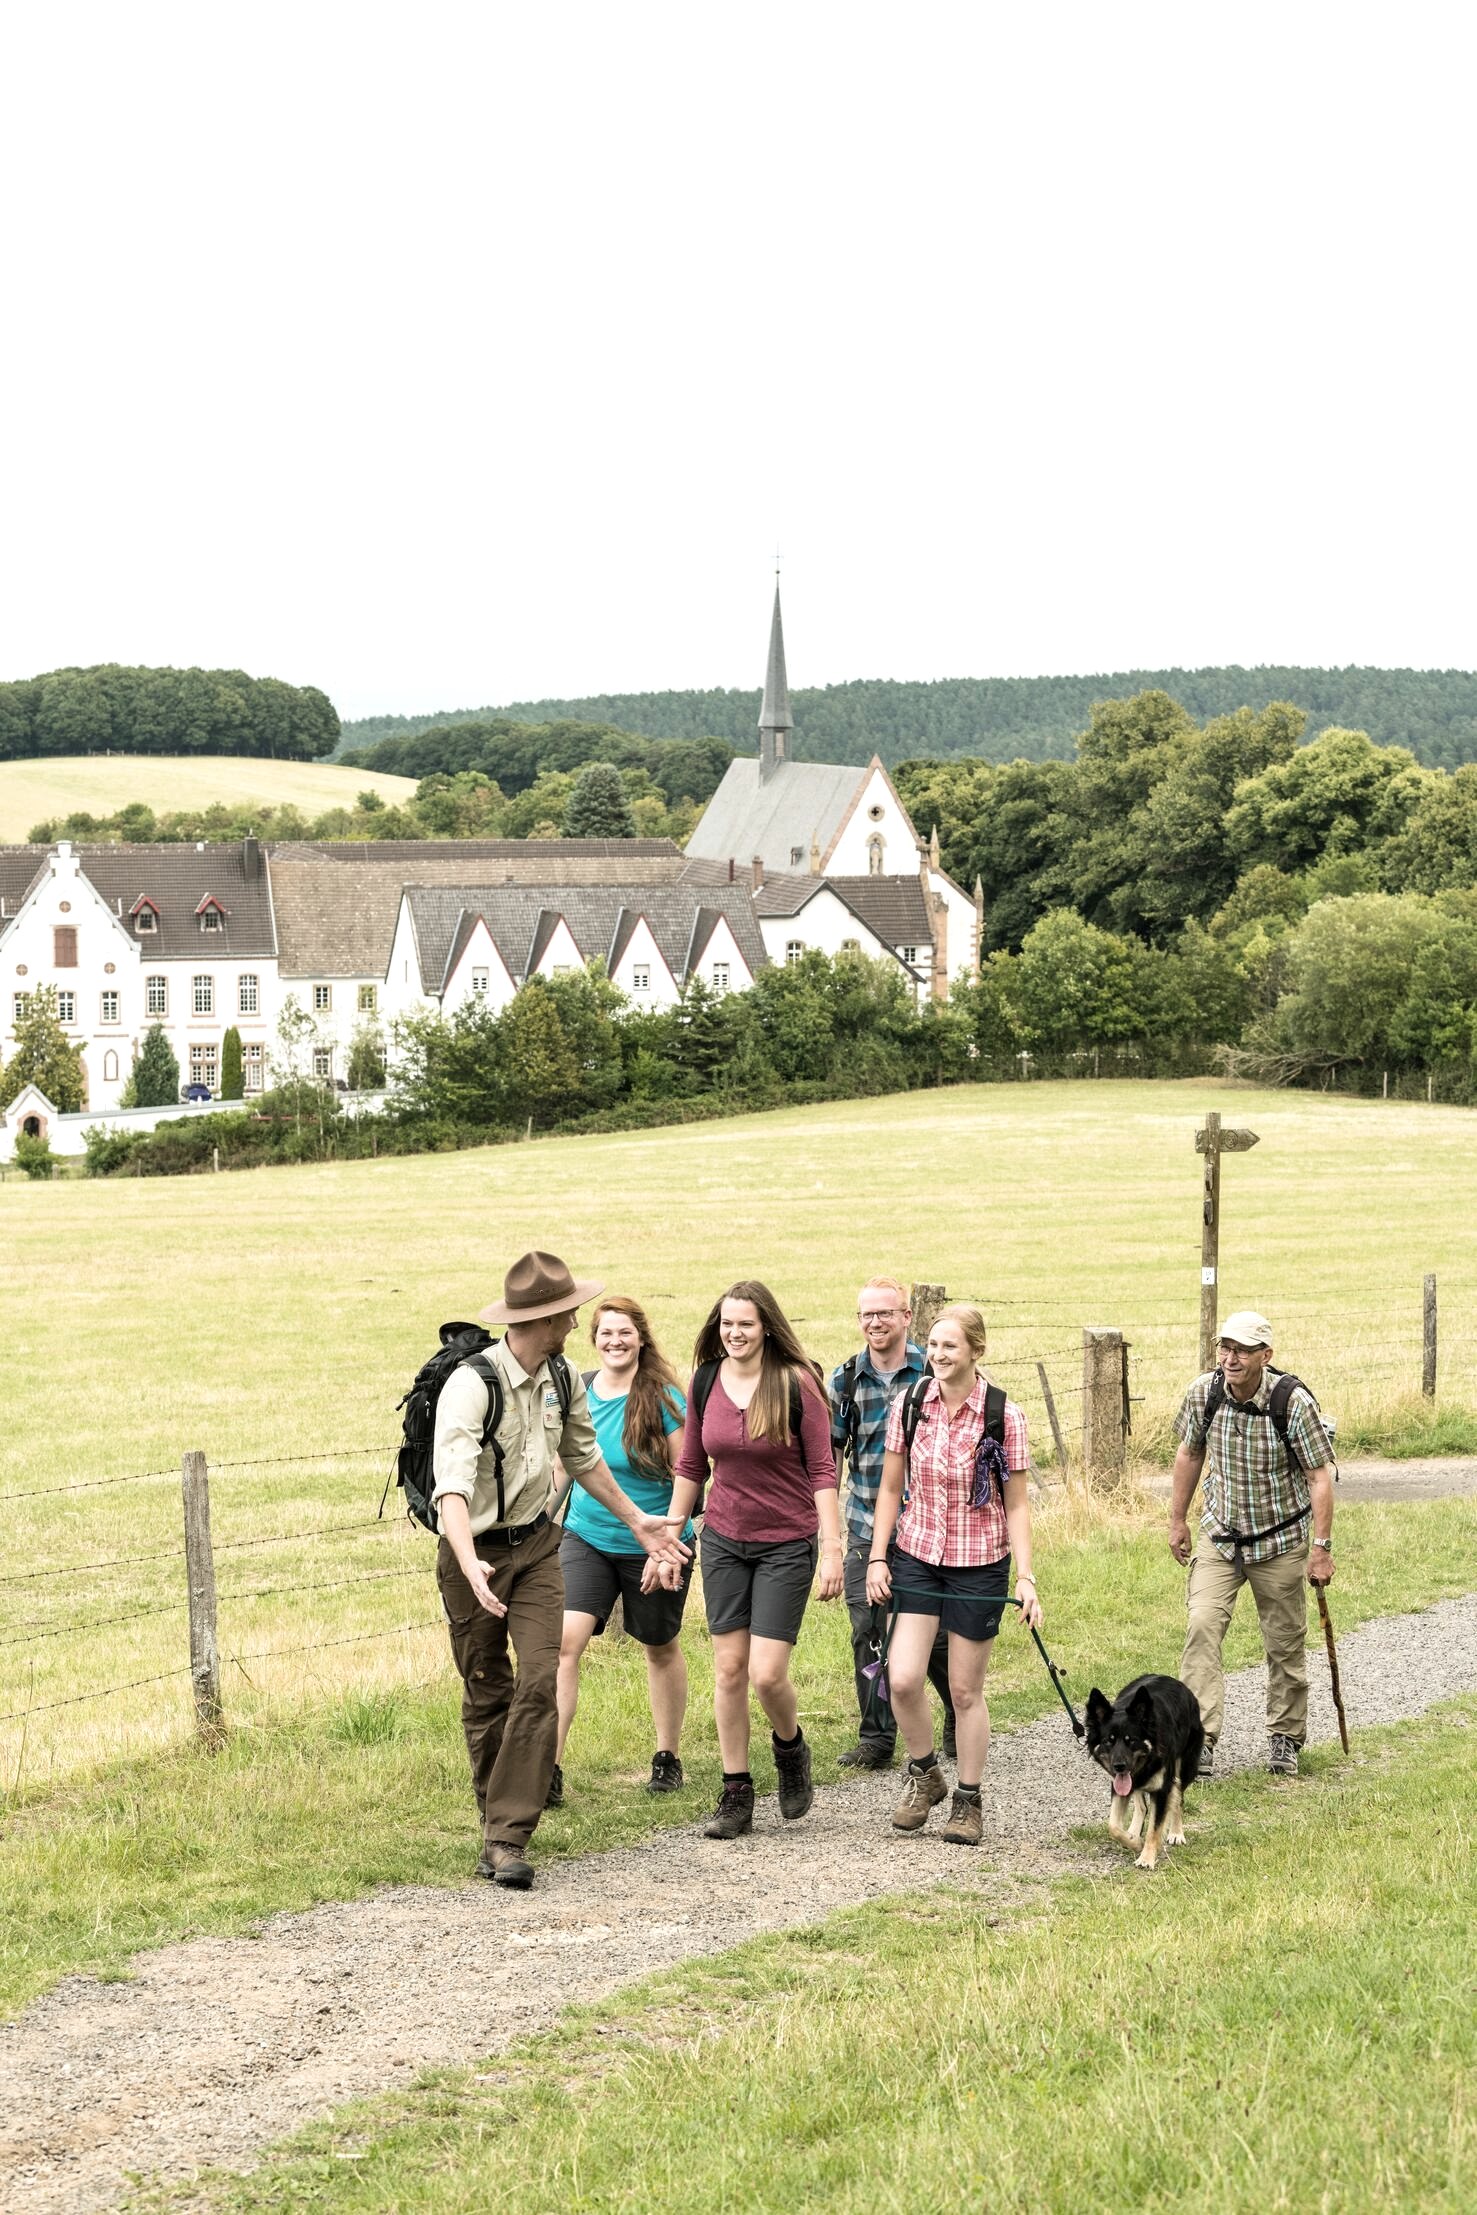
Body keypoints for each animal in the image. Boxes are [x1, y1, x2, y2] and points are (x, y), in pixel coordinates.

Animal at [1085, 1674, 1205, 1871]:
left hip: (1184, 1766)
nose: (1119, 1766)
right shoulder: (1119, 1785)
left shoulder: (1162, 1789)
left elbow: (1154, 1829)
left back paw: (1176, 1832)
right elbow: (1113, 1826)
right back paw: (1133, 1831)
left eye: (1131, 1740)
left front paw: (1146, 1858)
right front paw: (1133, 1841)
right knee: (1141, 1805)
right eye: (1108, 1741)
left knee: (1178, 1798)